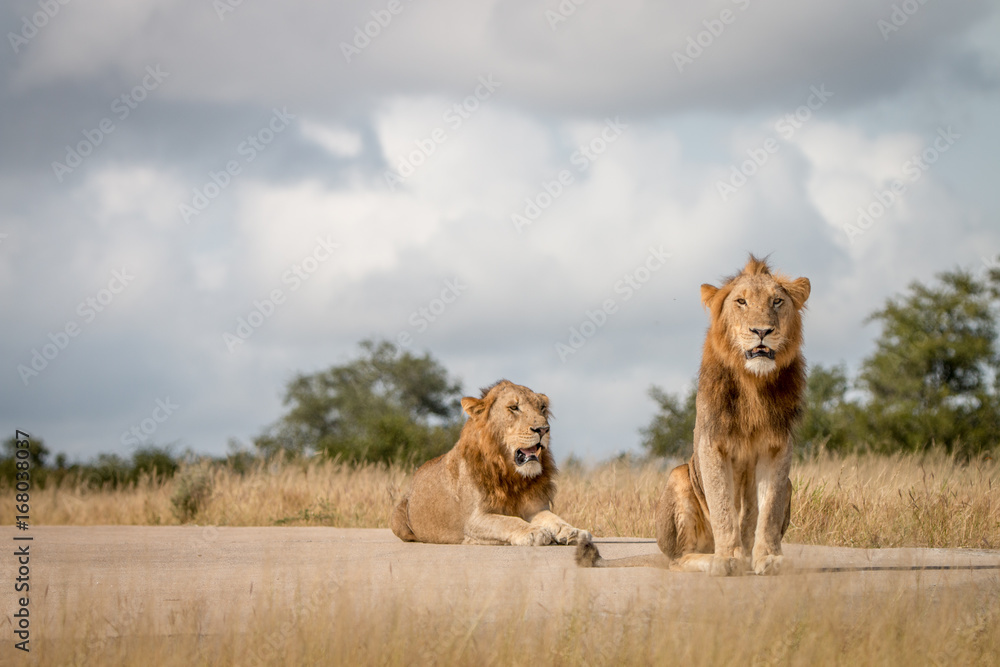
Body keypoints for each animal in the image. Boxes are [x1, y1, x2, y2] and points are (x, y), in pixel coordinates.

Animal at [391, 380, 591, 546]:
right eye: (514, 407)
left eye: (541, 408)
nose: (543, 429)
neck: (512, 474)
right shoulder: (474, 520)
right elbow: (508, 521)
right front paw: (534, 531)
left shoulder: (535, 507)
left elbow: (555, 519)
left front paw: (573, 531)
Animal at [578, 255, 809, 575]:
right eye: (741, 302)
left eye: (777, 301)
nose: (762, 331)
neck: (753, 383)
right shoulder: (712, 444)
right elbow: (723, 506)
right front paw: (728, 558)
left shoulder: (777, 447)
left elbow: (769, 509)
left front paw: (769, 558)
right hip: (679, 476)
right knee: (679, 559)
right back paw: (712, 560)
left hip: (788, 483)